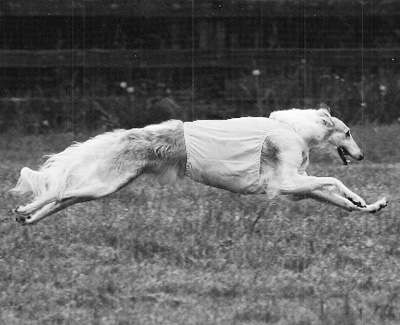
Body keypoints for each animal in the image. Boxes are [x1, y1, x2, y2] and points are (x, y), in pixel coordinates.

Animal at [10, 105, 388, 224]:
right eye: (348, 132)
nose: (362, 156)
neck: (295, 129)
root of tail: (129, 134)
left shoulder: (296, 186)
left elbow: (337, 198)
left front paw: (369, 205)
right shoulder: (284, 182)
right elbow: (333, 182)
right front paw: (359, 198)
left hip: (106, 186)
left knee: (63, 197)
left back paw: (28, 218)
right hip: (101, 183)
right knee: (56, 192)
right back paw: (24, 209)